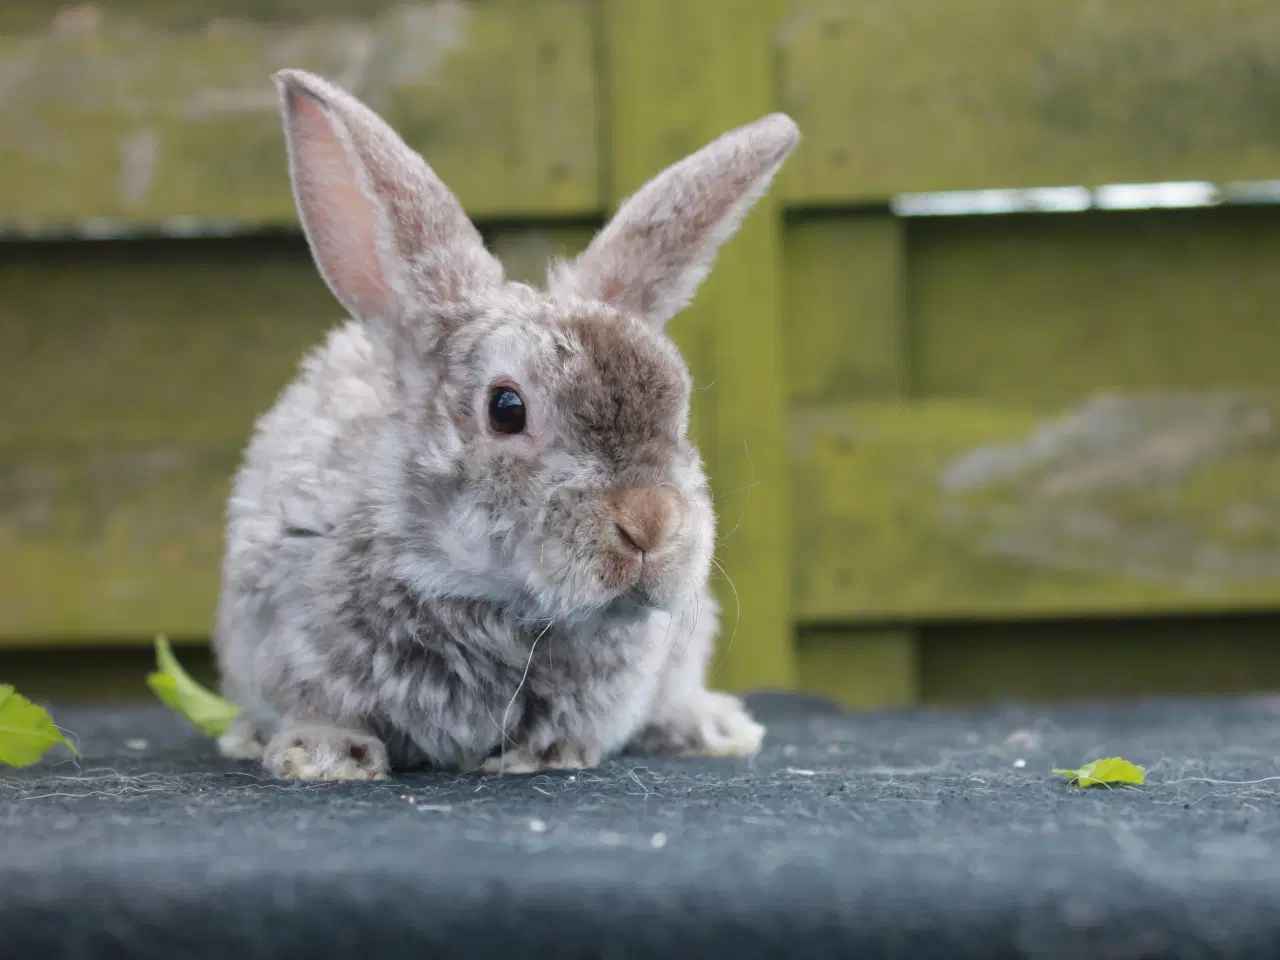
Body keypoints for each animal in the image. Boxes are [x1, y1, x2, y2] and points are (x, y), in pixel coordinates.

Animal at [212, 69, 798, 783]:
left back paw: (710, 727)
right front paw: (326, 758)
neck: (482, 594)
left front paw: (546, 755)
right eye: (506, 408)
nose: (650, 525)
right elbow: (316, 706)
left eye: (679, 407)